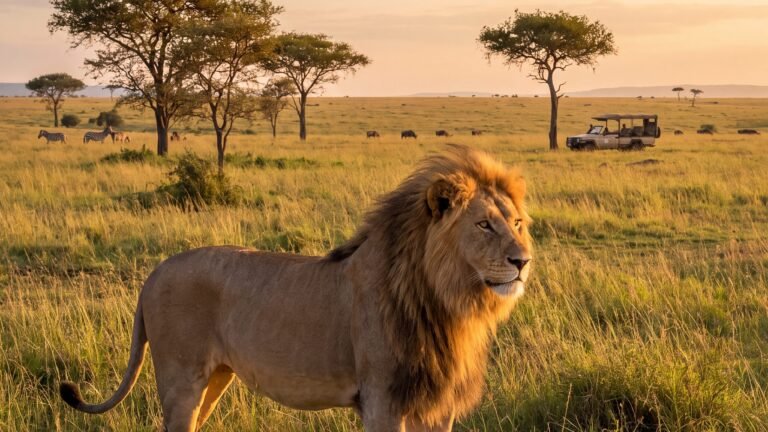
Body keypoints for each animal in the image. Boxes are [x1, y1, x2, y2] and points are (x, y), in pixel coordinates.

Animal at [60, 145, 533, 432]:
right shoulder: (382, 398)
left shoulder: (436, 405)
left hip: (214, 378)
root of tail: (154, 274)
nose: (523, 261)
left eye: (517, 223)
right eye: (484, 225)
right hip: (180, 379)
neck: (447, 302)